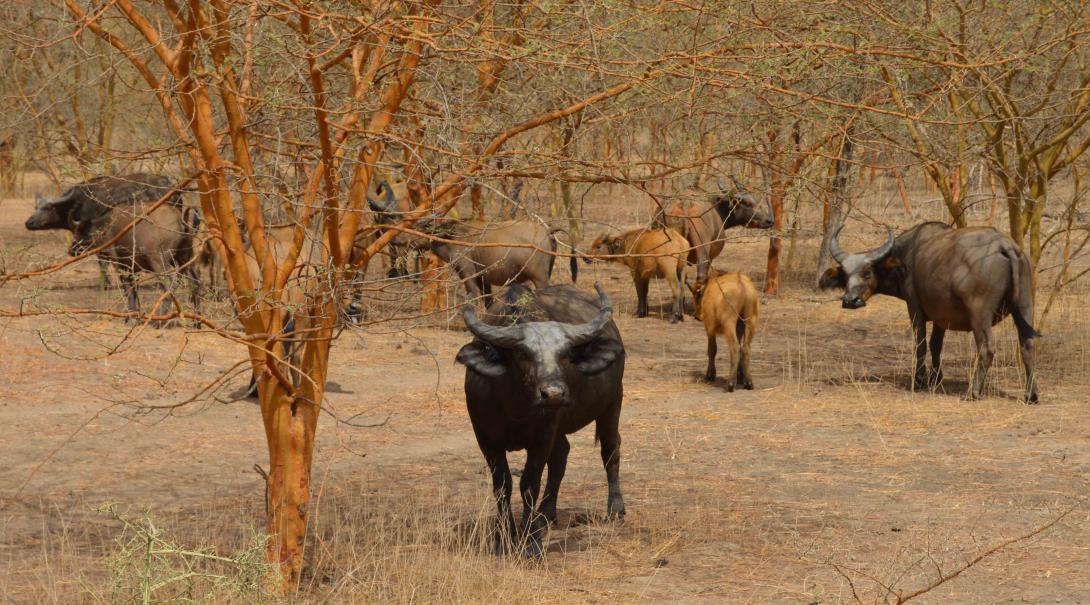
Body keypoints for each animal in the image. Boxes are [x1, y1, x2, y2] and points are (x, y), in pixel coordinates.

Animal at [455, 283, 627, 558]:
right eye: (523, 354)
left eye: (565, 355)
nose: (554, 394)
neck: (516, 407)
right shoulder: (486, 440)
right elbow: (502, 485)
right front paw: (503, 539)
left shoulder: (542, 437)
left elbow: (529, 483)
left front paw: (530, 541)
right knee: (561, 455)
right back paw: (546, 514)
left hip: (613, 402)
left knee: (610, 448)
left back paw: (615, 508)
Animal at [819, 221, 1037, 403]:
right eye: (845, 275)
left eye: (867, 273)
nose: (850, 301)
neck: (909, 254)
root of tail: (1004, 245)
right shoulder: (942, 317)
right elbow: (936, 344)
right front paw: (936, 377)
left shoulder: (915, 308)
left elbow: (921, 342)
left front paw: (920, 379)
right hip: (1025, 306)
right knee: (1027, 345)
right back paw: (1031, 395)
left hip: (979, 314)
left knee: (987, 348)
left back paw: (972, 392)